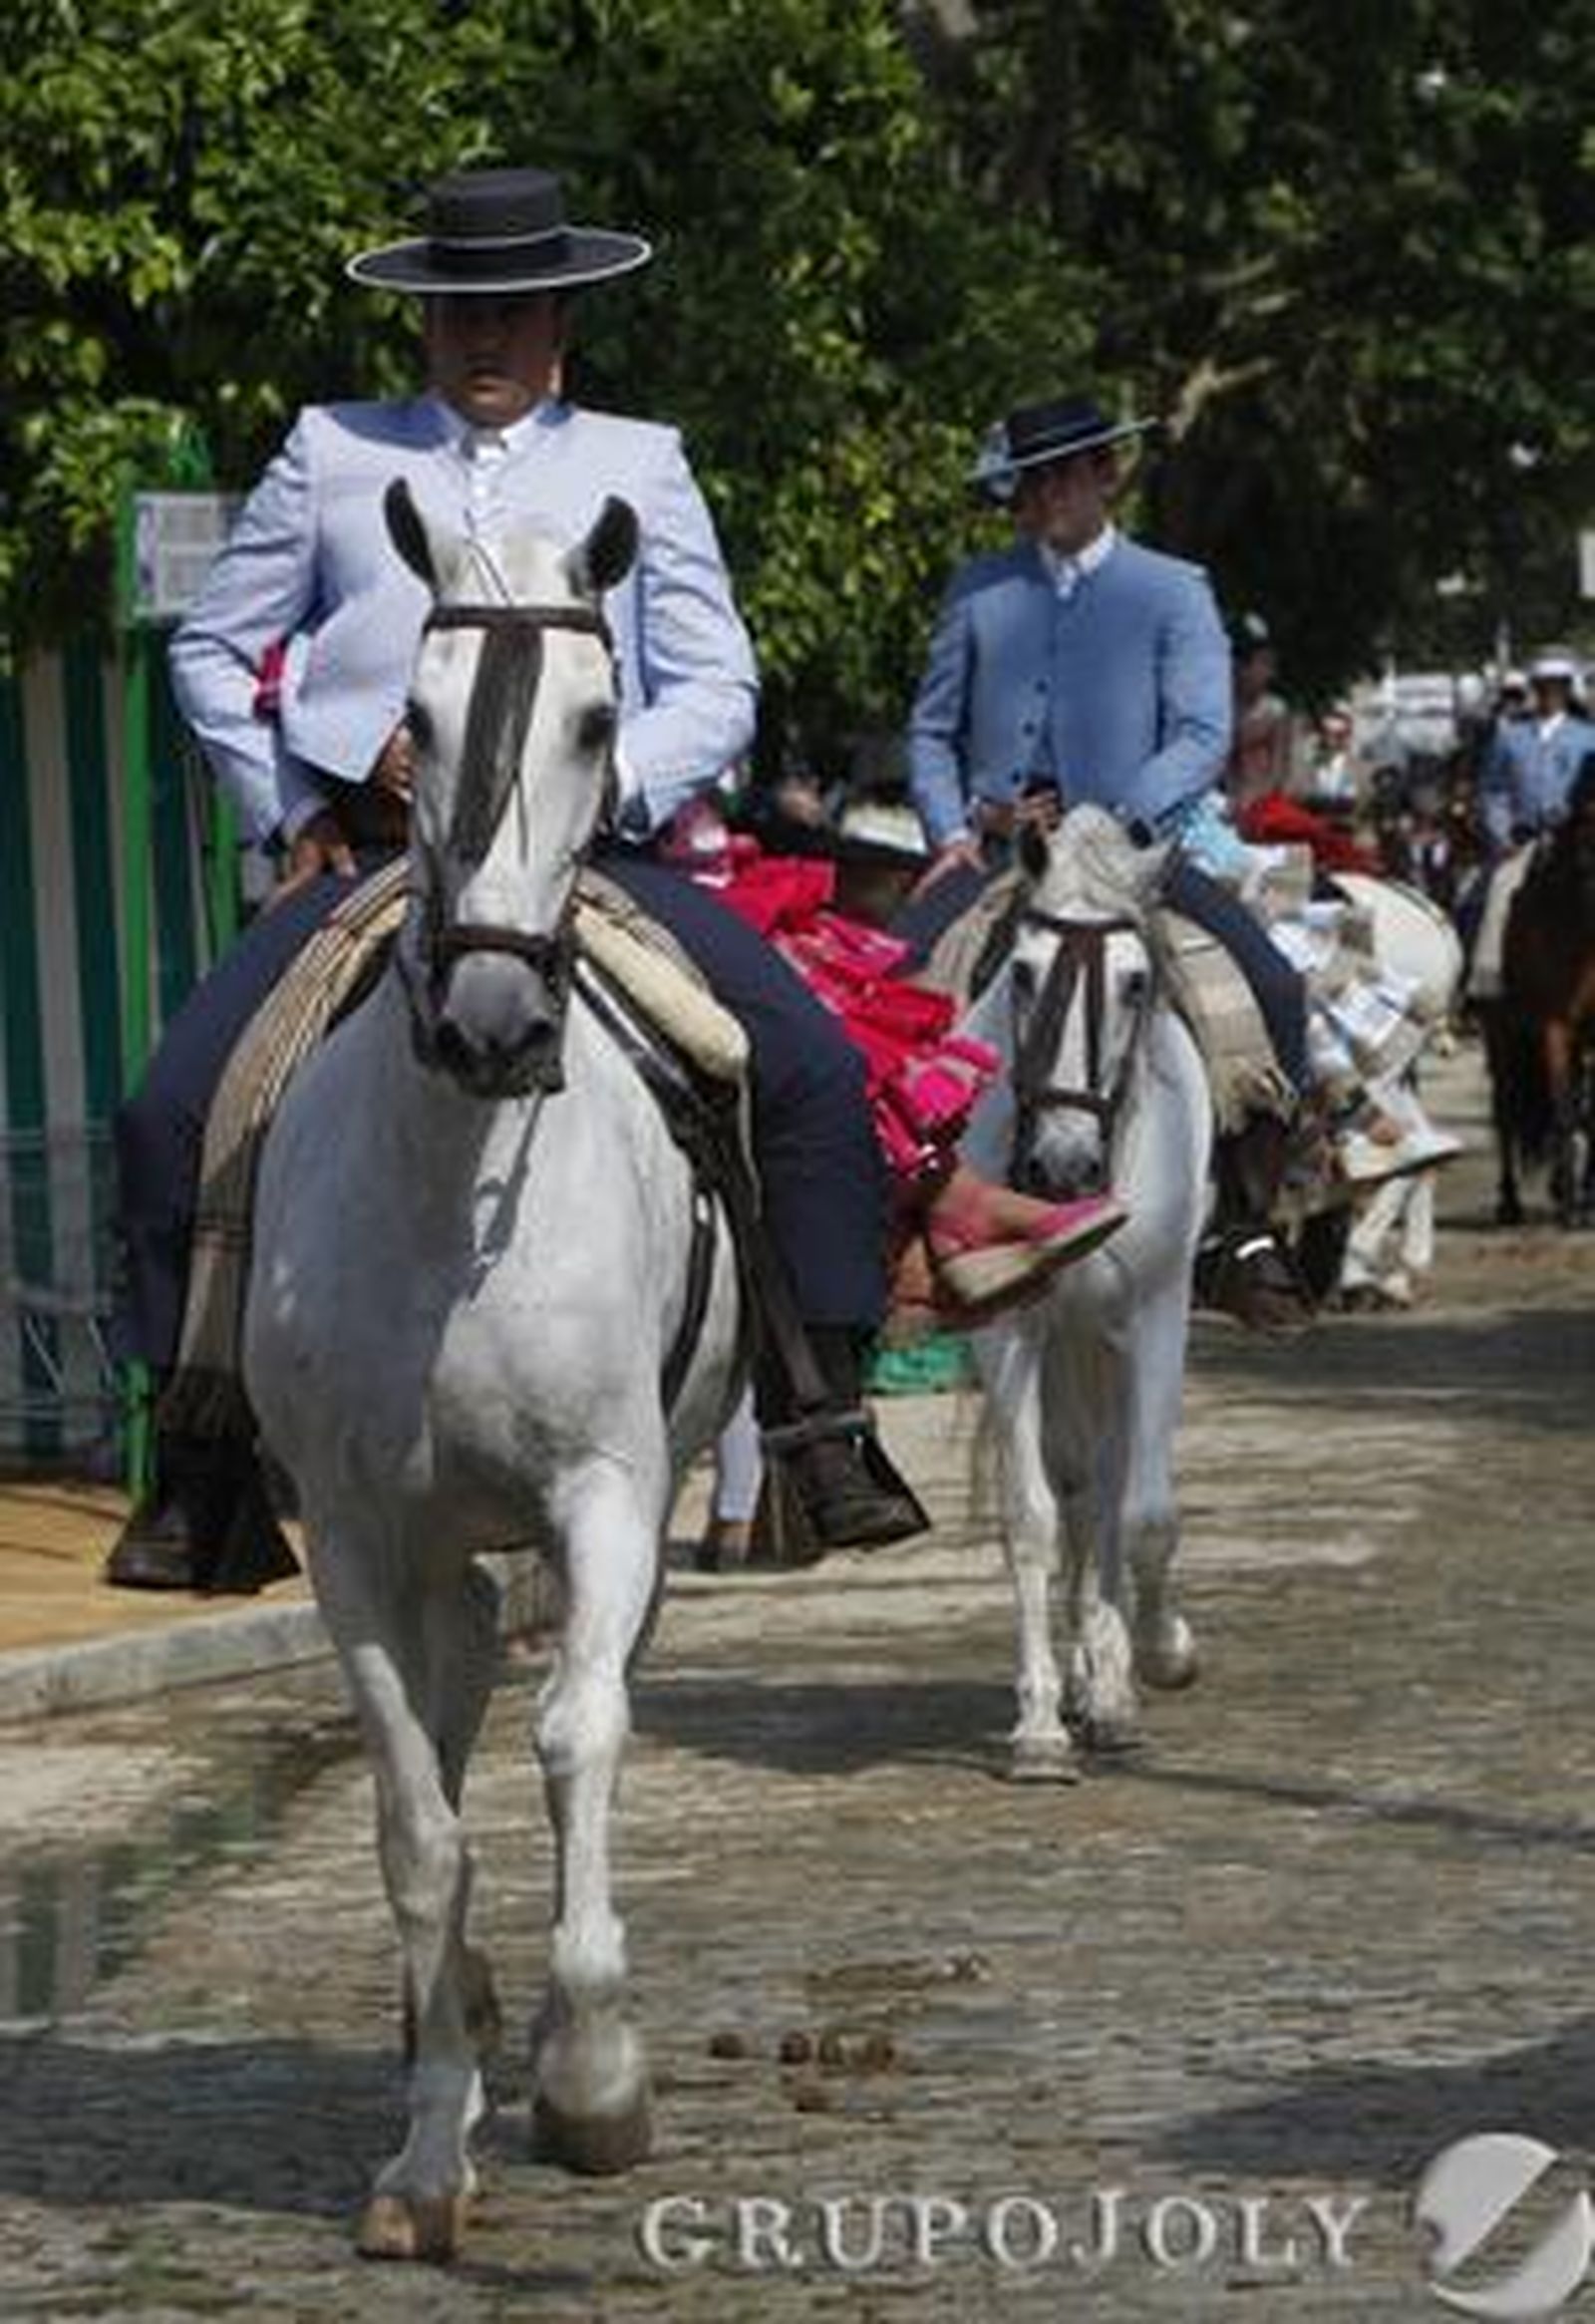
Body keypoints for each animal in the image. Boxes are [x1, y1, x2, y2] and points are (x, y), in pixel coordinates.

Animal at [244, 483, 744, 2260]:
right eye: (416, 716)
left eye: (598, 718)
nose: (490, 1020)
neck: (452, 1189)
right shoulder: (352, 1537)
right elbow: (416, 1825)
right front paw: (423, 2157)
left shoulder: (610, 1494)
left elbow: (577, 1736)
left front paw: (592, 2071)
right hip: (432, 1542)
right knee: (455, 1705)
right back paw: (441, 2025)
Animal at [956, 809, 1213, 1777]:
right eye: (1023, 972)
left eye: (1136, 982)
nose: (1062, 1167)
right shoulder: (1013, 1328)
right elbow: (1031, 1517)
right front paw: (1037, 1727)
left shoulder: (1155, 1315)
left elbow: (1144, 1513)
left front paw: (1160, 1655)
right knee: (1076, 1486)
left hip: (1107, 1339)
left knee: (1108, 1487)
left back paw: (1111, 1685)